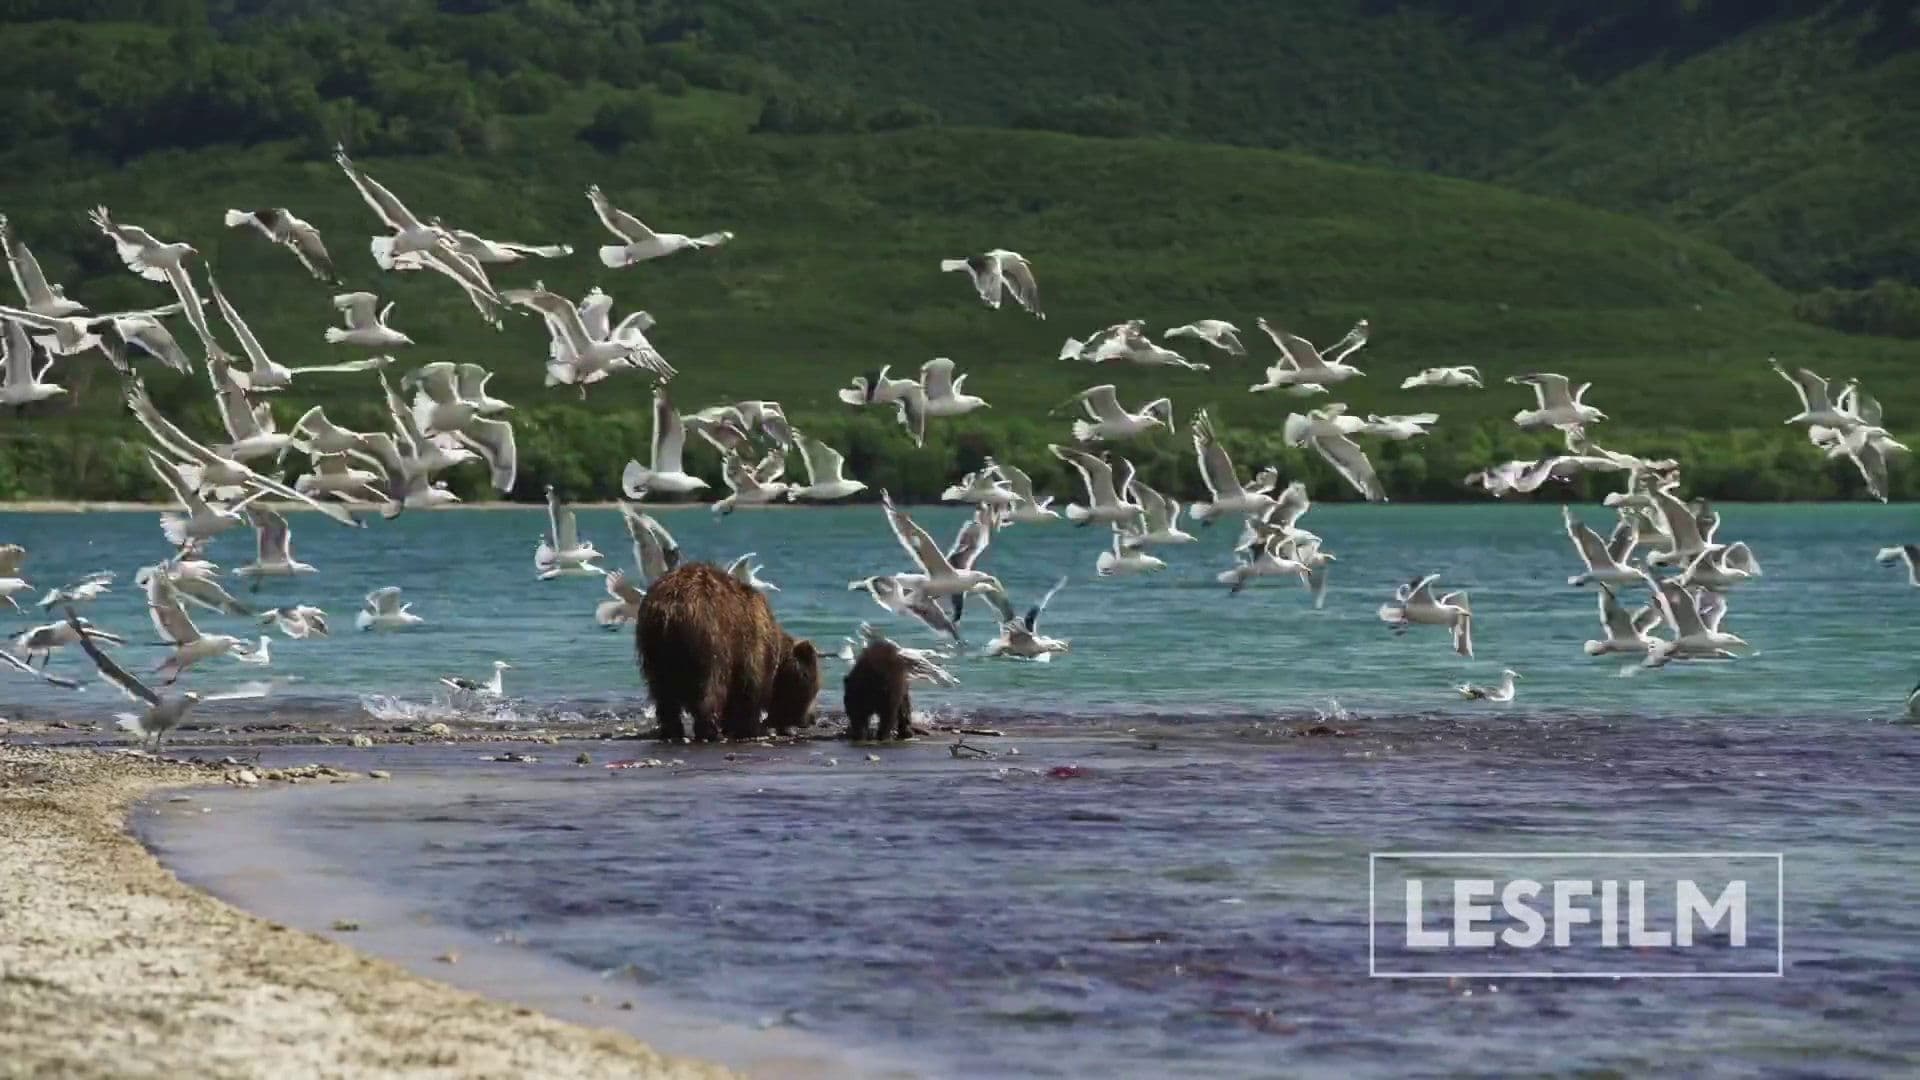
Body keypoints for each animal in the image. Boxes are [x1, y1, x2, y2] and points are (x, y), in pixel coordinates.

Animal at [635, 562, 817, 741]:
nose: (810, 719)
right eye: (811, 689)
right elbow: (749, 690)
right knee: (712, 685)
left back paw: (673, 730)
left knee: (663, 692)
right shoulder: (751, 646)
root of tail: (670, 609)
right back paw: (710, 732)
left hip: (655, 646)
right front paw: (751, 728)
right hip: (711, 636)